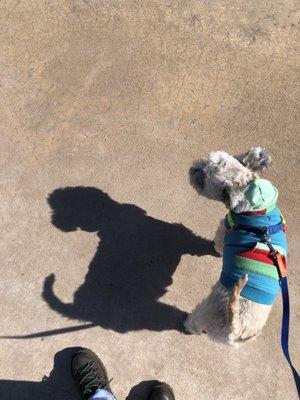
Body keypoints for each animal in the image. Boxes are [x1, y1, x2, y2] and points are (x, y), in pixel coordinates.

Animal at [184, 148, 288, 346]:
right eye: (205, 160)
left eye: (203, 177)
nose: (192, 168)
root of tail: (237, 330)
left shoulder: (225, 226)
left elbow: (218, 241)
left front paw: (217, 250)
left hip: (206, 311)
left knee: (197, 321)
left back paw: (188, 324)